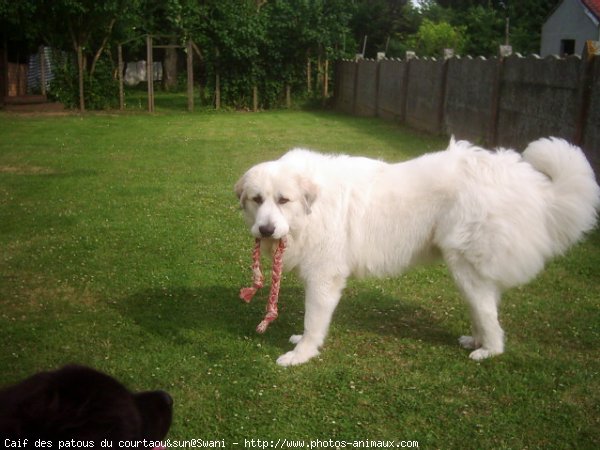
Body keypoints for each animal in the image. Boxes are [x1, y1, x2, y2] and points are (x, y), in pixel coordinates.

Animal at [234, 139, 600, 368]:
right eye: (257, 199)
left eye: (283, 200)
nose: (265, 230)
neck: (313, 205)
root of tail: (529, 185)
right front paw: (301, 344)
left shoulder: (325, 276)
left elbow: (313, 321)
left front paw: (301, 355)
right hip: (467, 272)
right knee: (484, 309)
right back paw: (476, 342)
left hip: (465, 266)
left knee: (490, 317)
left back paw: (488, 351)